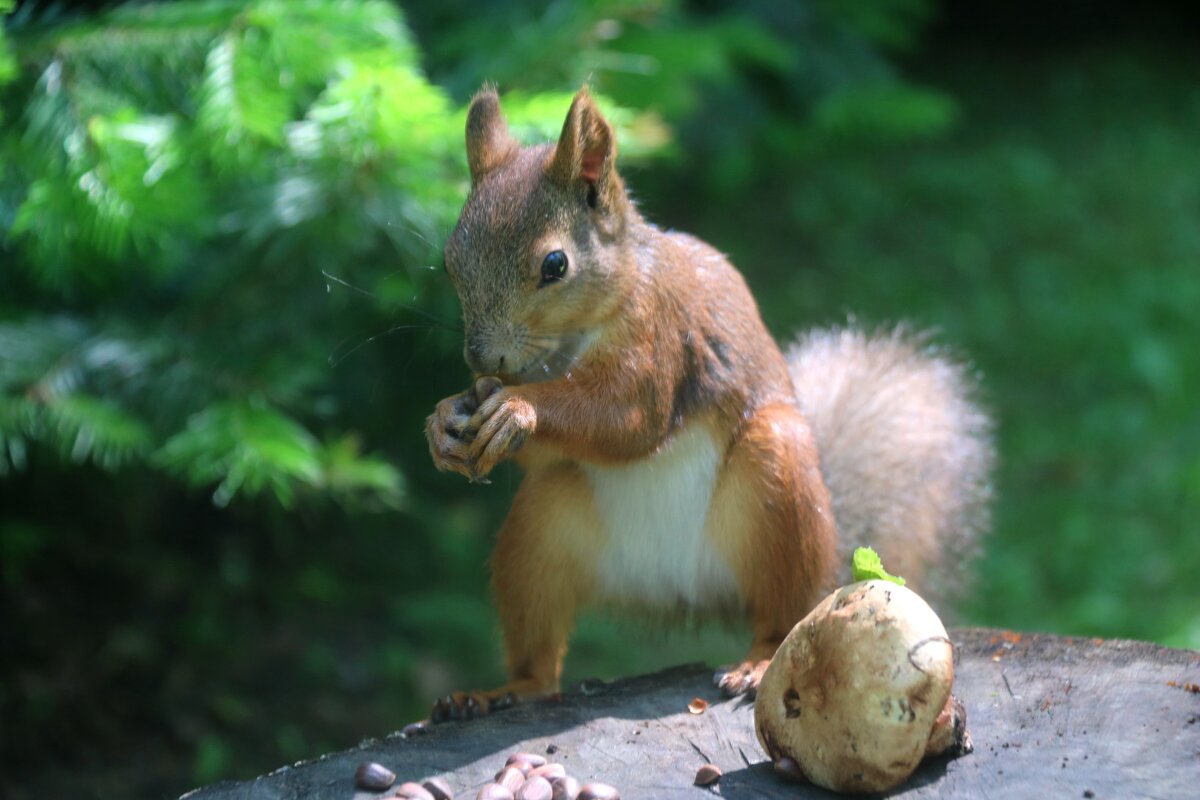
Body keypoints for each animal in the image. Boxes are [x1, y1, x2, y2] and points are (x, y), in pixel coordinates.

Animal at [427, 86, 988, 719]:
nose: (481, 359)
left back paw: (760, 662)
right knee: (540, 658)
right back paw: (502, 691)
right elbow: (552, 446)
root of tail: (681, 589)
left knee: (781, 615)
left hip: (779, 482)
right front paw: (444, 421)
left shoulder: (664, 335)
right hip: (540, 530)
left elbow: (629, 420)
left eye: (555, 265)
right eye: (450, 258)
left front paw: (520, 409)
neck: (571, 343)